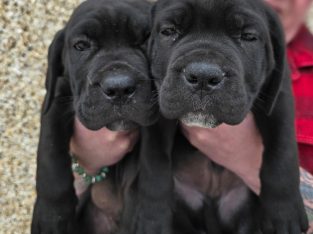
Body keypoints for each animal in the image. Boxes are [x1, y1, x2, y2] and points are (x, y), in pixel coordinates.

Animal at [31, 0, 158, 233]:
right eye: (81, 46)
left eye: (147, 39)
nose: (119, 88)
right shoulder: (57, 95)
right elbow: (50, 154)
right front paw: (51, 216)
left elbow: (152, 160)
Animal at [148, 0, 308, 233]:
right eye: (169, 31)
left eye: (248, 36)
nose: (203, 76)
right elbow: (153, 161)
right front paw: (150, 214)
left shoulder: (280, 98)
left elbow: (282, 151)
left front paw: (284, 213)